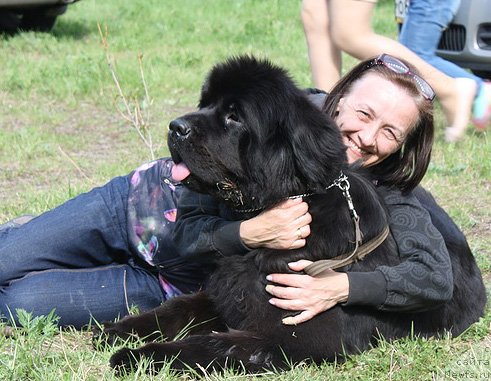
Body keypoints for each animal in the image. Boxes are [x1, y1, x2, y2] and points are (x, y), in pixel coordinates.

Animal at [101, 56, 488, 374]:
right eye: (206, 103)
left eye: (234, 115)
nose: (175, 126)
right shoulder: (226, 290)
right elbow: (176, 309)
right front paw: (119, 331)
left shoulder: (293, 337)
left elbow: (211, 343)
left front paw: (137, 356)